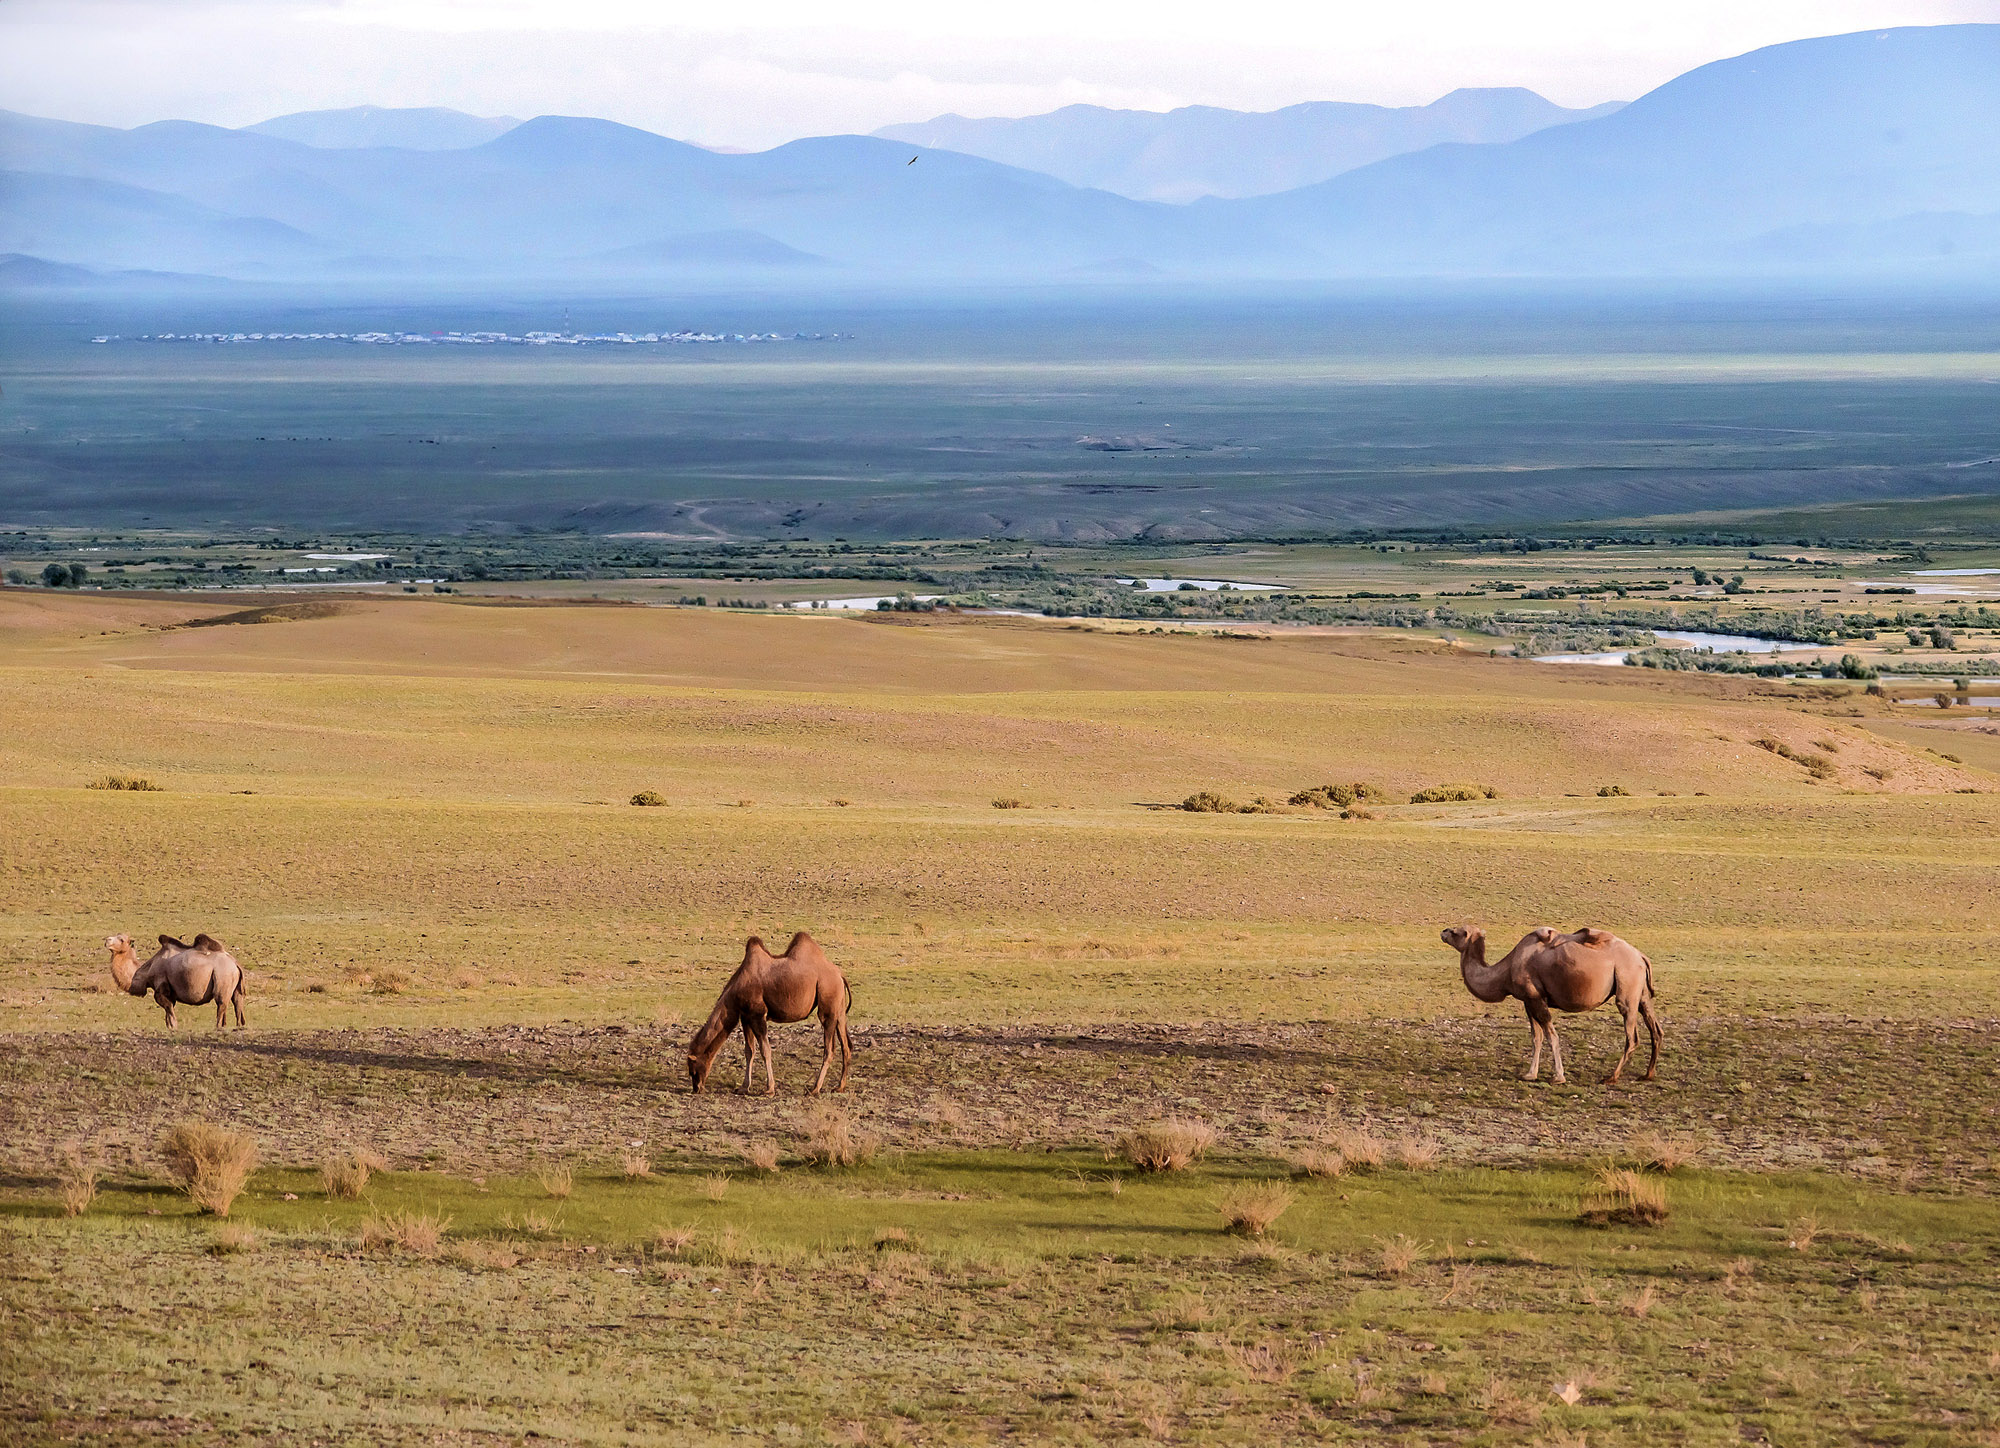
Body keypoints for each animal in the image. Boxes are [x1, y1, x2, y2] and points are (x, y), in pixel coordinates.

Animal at [108, 928, 247, 1032]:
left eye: (121, 939)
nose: (107, 940)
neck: (147, 972)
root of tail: (235, 963)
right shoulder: (171, 992)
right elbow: (168, 1013)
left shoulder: (161, 986)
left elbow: (169, 1010)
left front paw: (174, 1027)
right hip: (233, 984)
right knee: (237, 1004)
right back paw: (237, 1026)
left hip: (223, 976)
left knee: (221, 1004)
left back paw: (218, 1027)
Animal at [688, 932, 852, 1088]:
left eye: (693, 1069)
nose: (697, 1088)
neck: (736, 990)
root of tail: (840, 975)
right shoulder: (746, 1017)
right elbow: (749, 1051)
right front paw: (744, 1087)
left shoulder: (758, 1014)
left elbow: (765, 1050)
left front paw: (769, 1088)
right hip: (839, 1008)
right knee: (846, 1045)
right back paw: (839, 1087)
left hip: (827, 1001)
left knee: (829, 1049)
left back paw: (815, 1089)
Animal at [1440, 928, 1656, 1088]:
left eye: (1457, 931)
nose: (1443, 932)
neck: (1506, 971)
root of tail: (1641, 956)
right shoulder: (1528, 1000)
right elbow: (1537, 1037)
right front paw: (1530, 1074)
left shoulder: (1535, 997)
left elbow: (1551, 1035)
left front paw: (1558, 1077)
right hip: (1641, 993)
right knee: (1656, 1029)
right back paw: (1647, 1074)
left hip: (1626, 987)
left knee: (1632, 1036)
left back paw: (1611, 1077)